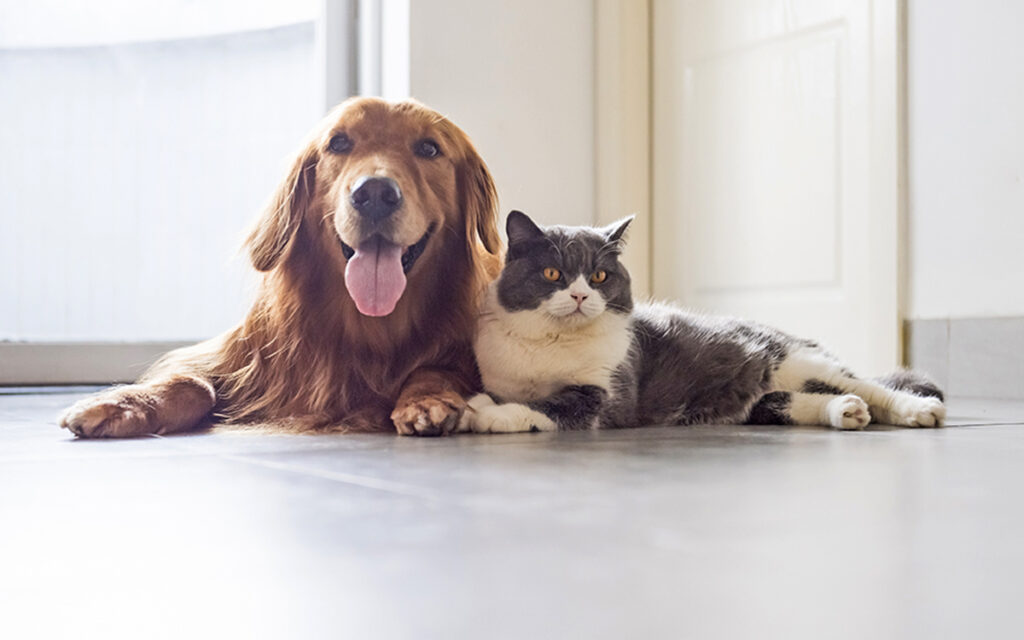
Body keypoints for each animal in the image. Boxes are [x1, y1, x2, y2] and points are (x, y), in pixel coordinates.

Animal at [58, 97, 499, 436]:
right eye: (339, 143)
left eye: (429, 149)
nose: (374, 193)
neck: (368, 329)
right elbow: (194, 381)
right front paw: (124, 402)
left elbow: (434, 368)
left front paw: (426, 400)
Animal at [460, 209, 946, 434]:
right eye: (552, 274)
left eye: (599, 276)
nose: (580, 296)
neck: (551, 343)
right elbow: (520, 396)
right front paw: (480, 404)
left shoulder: (605, 395)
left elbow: (550, 407)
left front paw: (484, 414)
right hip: (761, 397)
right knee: (789, 402)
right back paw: (845, 412)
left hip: (798, 361)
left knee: (873, 387)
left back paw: (918, 410)